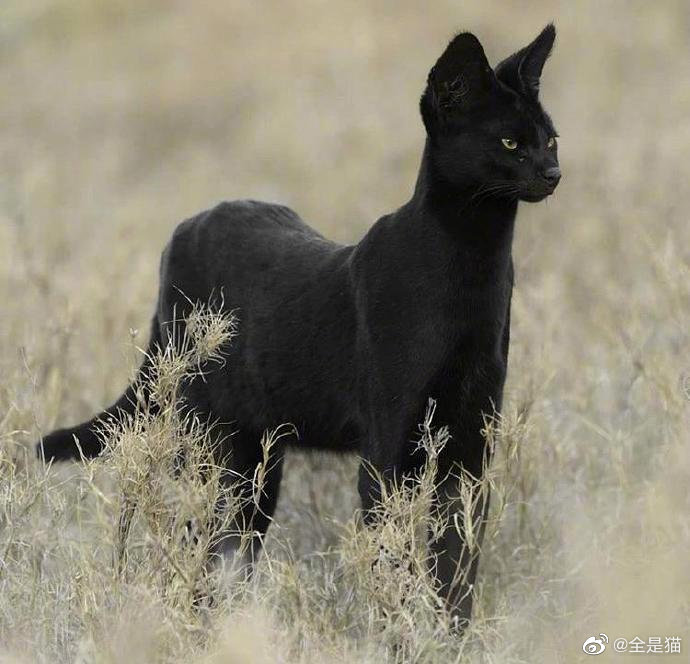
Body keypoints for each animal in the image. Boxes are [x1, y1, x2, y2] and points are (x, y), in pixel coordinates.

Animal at [37, 23, 556, 624]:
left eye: (550, 138)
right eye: (510, 143)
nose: (553, 172)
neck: (475, 260)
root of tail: (183, 230)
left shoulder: (471, 448)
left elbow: (458, 564)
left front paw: (450, 634)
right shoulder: (388, 449)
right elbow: (396, 560)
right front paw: (397, 631)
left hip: (257, 465)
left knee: (225, 554)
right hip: (209, 448)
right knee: (194, 546)